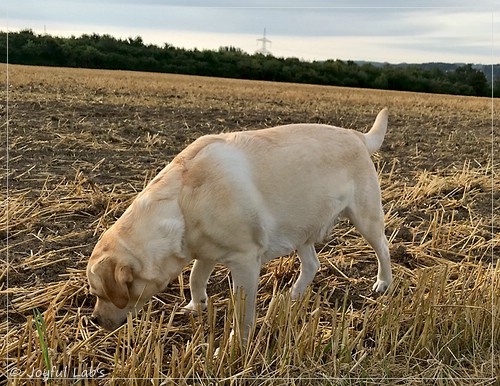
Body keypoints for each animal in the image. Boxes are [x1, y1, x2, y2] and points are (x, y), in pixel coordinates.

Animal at [87, 107, 390, 336]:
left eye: (100, 292)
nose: (94, 320)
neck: (180, 206)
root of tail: (358, 136)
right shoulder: (205, 251)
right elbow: (195, 277)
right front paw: (196, 306)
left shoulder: (245, 261)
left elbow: (242, 313)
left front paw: (236, 345)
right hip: (301, 226)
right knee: (312, 264)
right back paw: (293, 295)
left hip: (366, 217)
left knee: (383, 248)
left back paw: (383, 283)